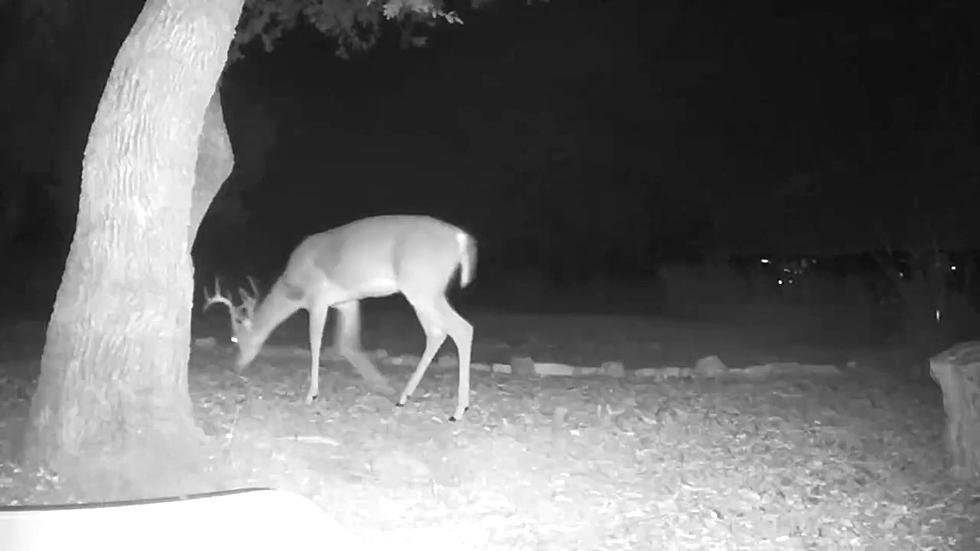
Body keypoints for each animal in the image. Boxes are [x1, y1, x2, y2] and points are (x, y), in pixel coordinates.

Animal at [206, 213, 478, 420]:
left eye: (234, 338)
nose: (236, 366)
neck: (293, 284)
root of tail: (461, 238)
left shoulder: (317, 299)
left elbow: (315, 341)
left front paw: (311, 394)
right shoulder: (347, 302)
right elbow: (346, 344)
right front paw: (380, 384)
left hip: (423, 287)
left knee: (462, 328)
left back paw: (458, 410)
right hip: (423, 292)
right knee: (437, 332)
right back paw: (403, 397)